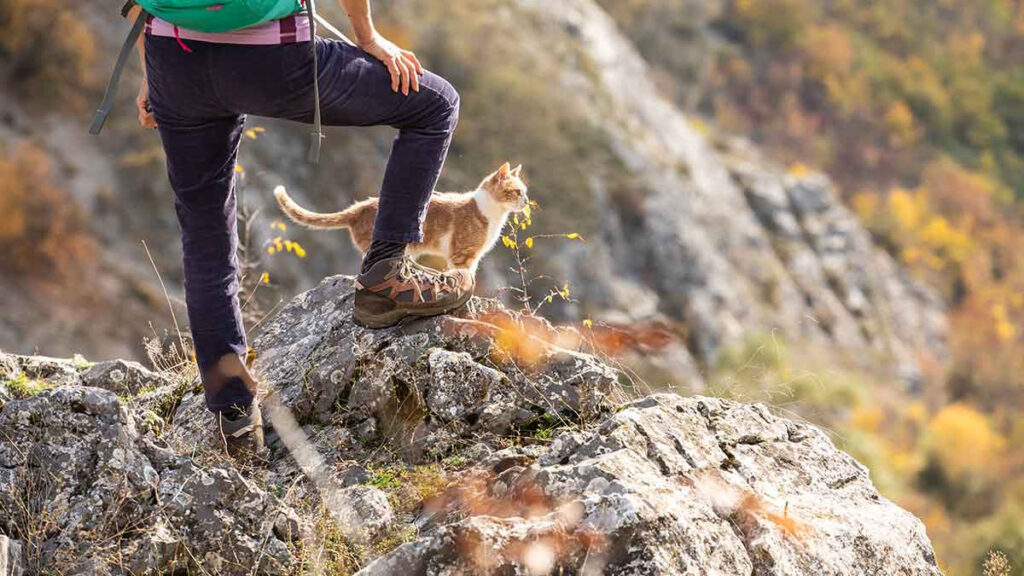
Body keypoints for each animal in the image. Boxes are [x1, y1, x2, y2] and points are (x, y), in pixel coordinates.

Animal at [274, 161, 528, 272]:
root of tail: (359, 207)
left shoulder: (471, 257)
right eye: (517, 191)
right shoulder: (463, 254)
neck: (493, 214)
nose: (526, 201)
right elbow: (463, 276)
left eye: (525, 192)